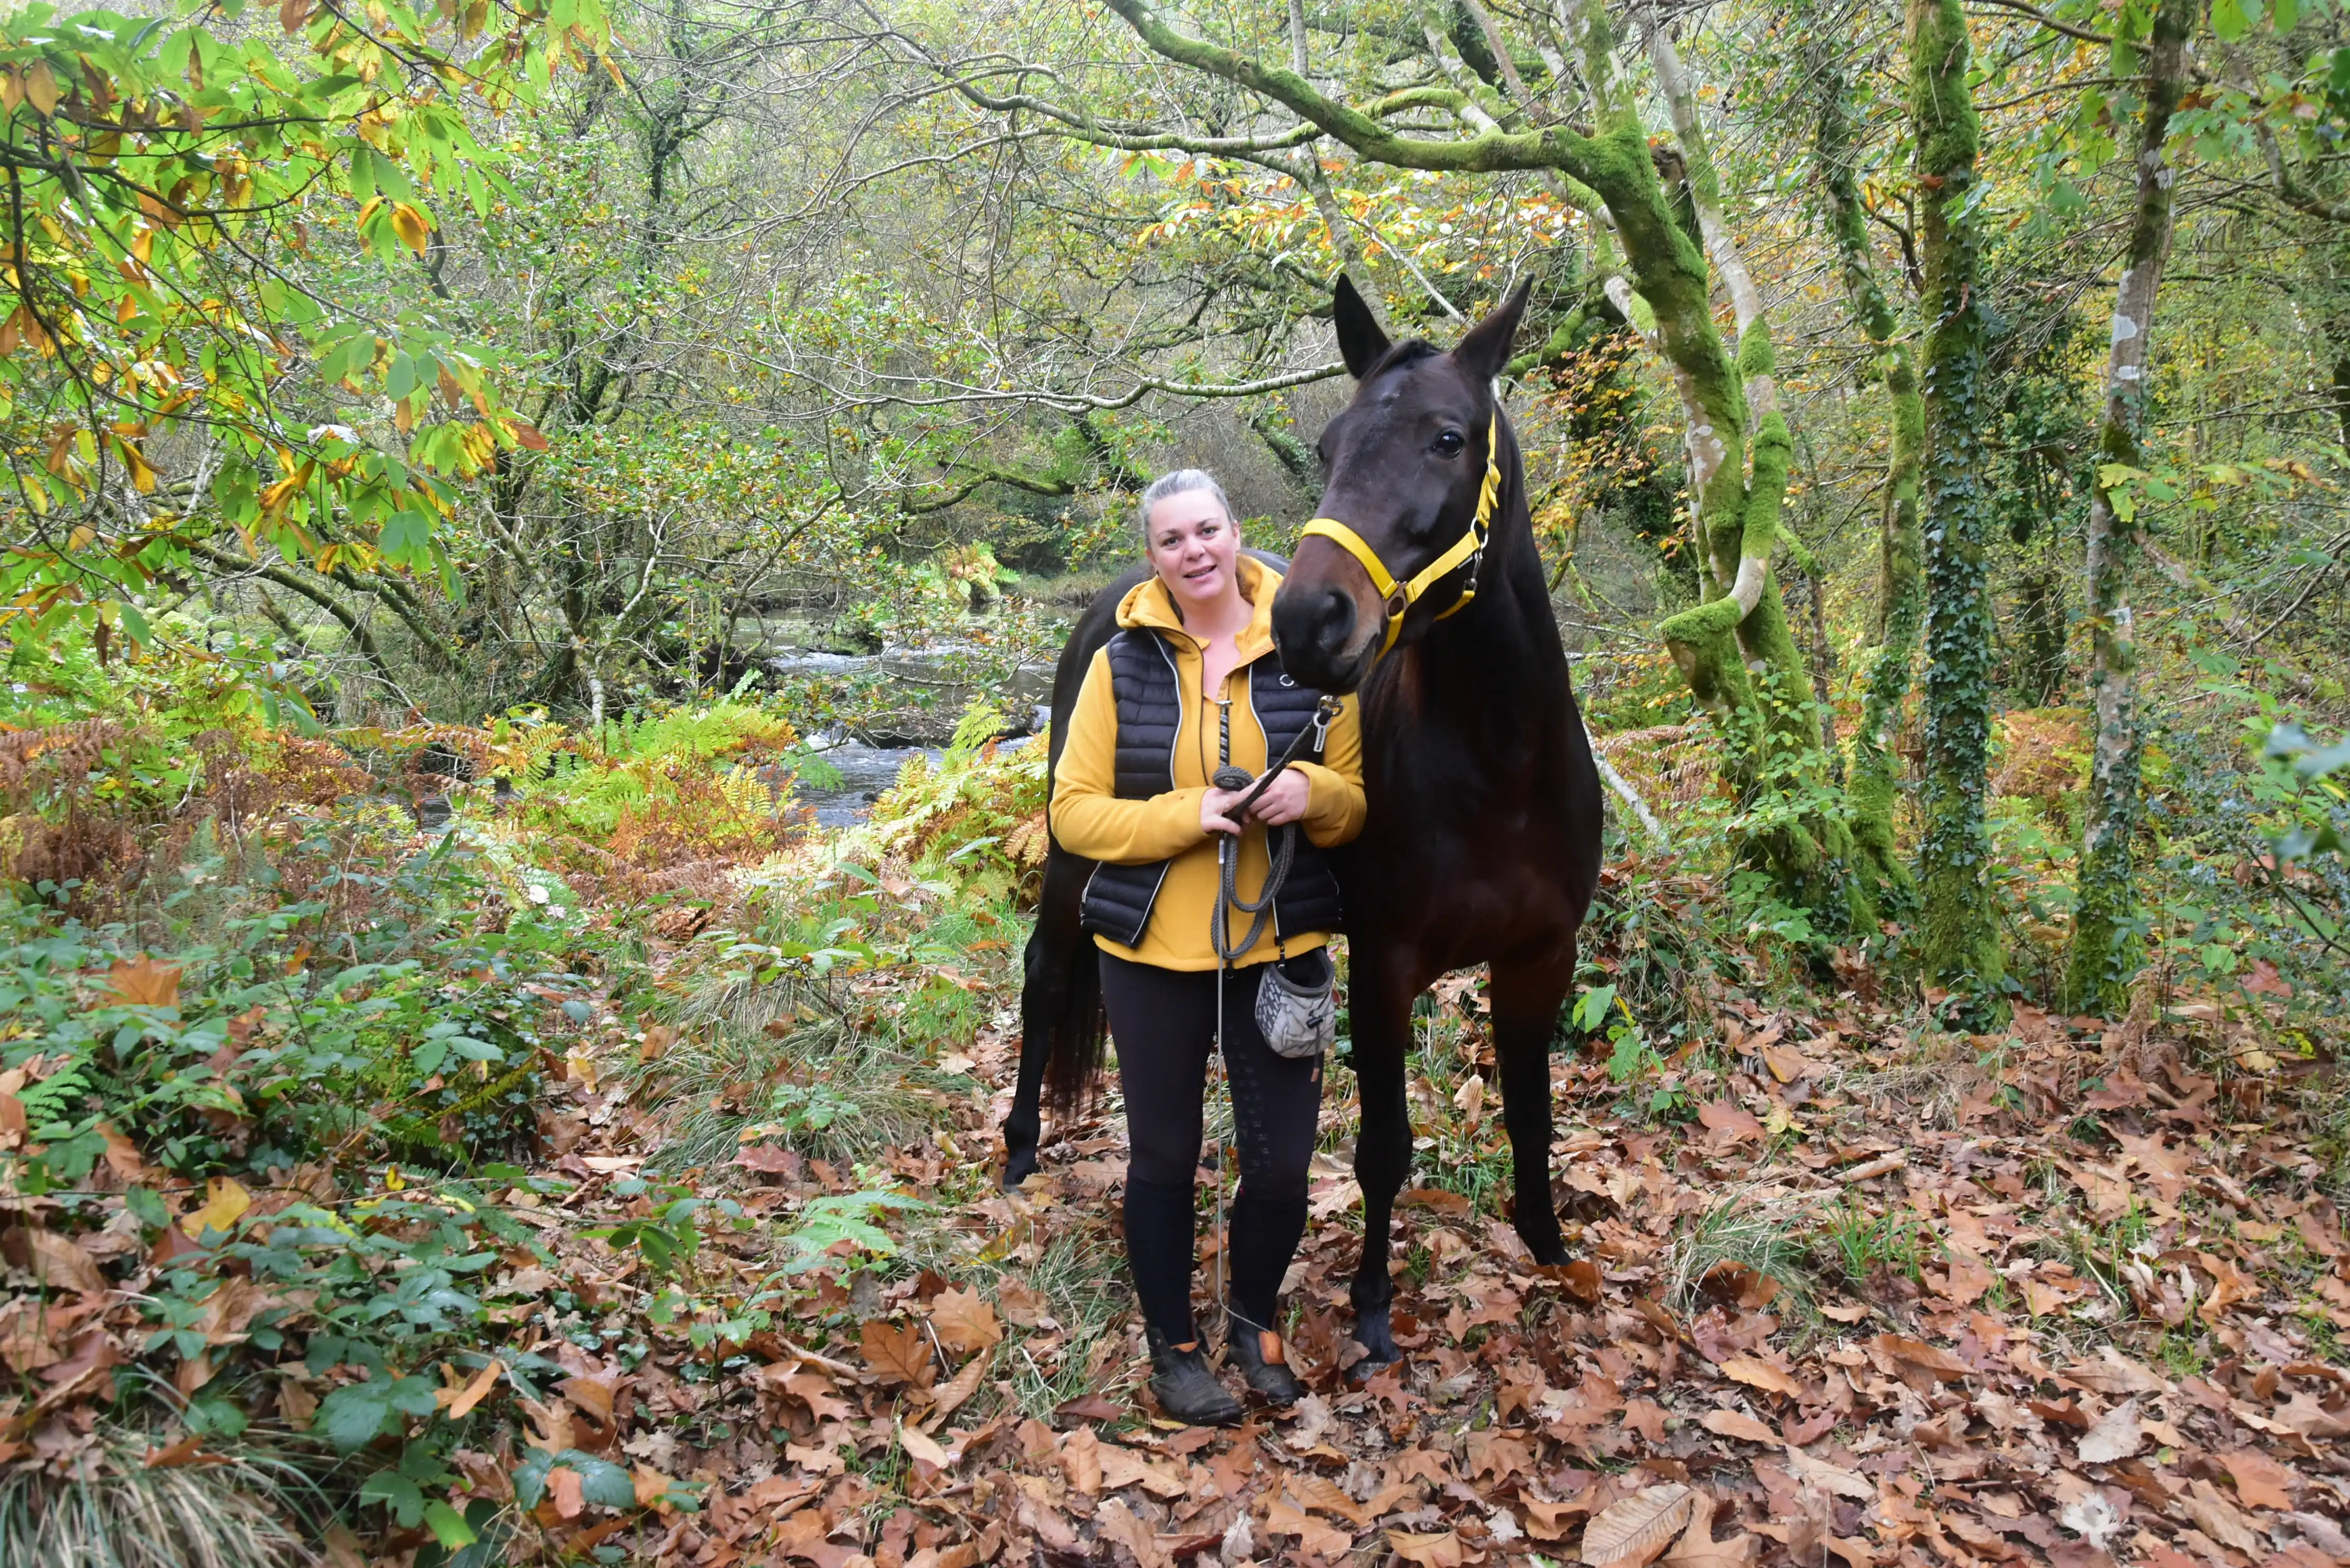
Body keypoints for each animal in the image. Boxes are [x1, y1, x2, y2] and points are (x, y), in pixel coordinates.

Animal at [1002, 278, 1603, 1374]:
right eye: (1327, 447)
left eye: (1447, 438)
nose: (1310, 625)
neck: (1501, 769)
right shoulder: (1387, 963)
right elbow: (1386, 1146)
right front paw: (1371, 1306)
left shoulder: (1542, 957)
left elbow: (1532, 1117)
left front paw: (1548, 1249)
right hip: (1073, 854)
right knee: (1047, 974)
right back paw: (1022, 1149)